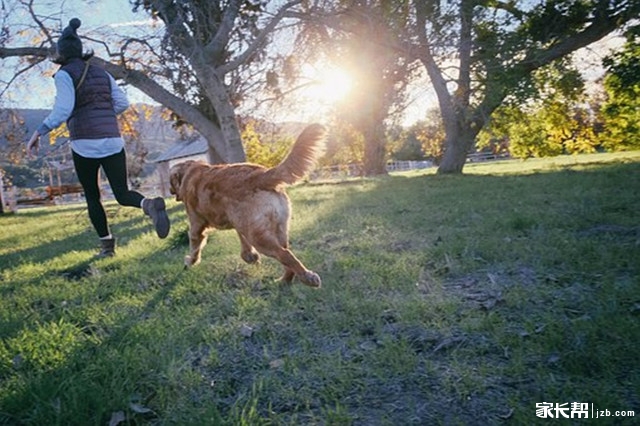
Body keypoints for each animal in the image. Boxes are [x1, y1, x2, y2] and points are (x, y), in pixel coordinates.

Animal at [170, 125, 328, 288]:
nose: (170, 191)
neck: (189, 172)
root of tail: (261, 175)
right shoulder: (238, 223)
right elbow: (242, 239)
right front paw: (250, 256)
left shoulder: (196, 225)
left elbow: (194, 246)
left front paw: (190, 261)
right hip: (277, 229)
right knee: (287, 257)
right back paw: (284, 280)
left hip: (259, 237)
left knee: (285, 254)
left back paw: (307, 277)